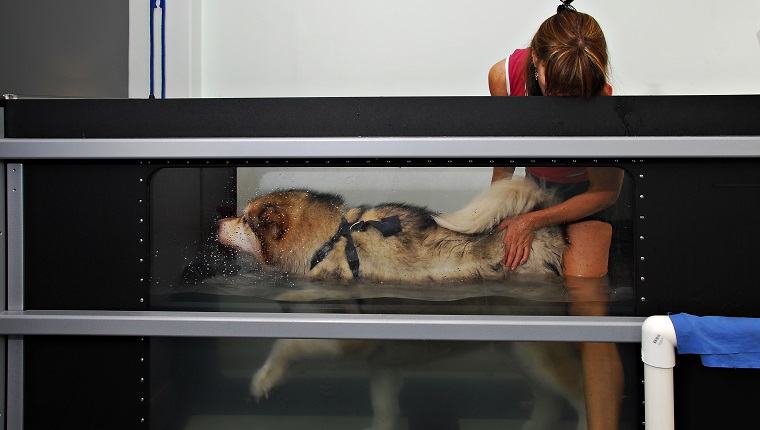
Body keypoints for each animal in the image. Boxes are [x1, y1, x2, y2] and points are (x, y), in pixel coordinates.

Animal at [217, 180, 584, 430]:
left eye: (245, 220)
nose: (219, 222)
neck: (328, 242)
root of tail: (545, 224)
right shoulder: (384, 365)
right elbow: (385, 409)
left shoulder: (344, 339)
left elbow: (287, 344)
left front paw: (264, 378)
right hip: (521, 352)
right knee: (549, 398)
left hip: (538, 353)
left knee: (578, 392)